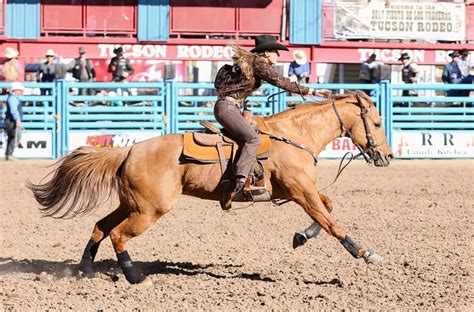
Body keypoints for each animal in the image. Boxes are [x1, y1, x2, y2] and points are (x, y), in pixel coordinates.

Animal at [28, 91, 392, 286]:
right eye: (376, 122)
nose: (387, 156)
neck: (293, 136)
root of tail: (128, 150)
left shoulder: (295, 193)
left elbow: (326, 209)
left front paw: (301, 236)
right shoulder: (301, 193)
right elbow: (331, 222)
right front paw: (365, 253)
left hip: (131, 204)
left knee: (100, 227)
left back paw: (86, 269)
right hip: (149, 209)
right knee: (117, 235)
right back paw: (135, 277)